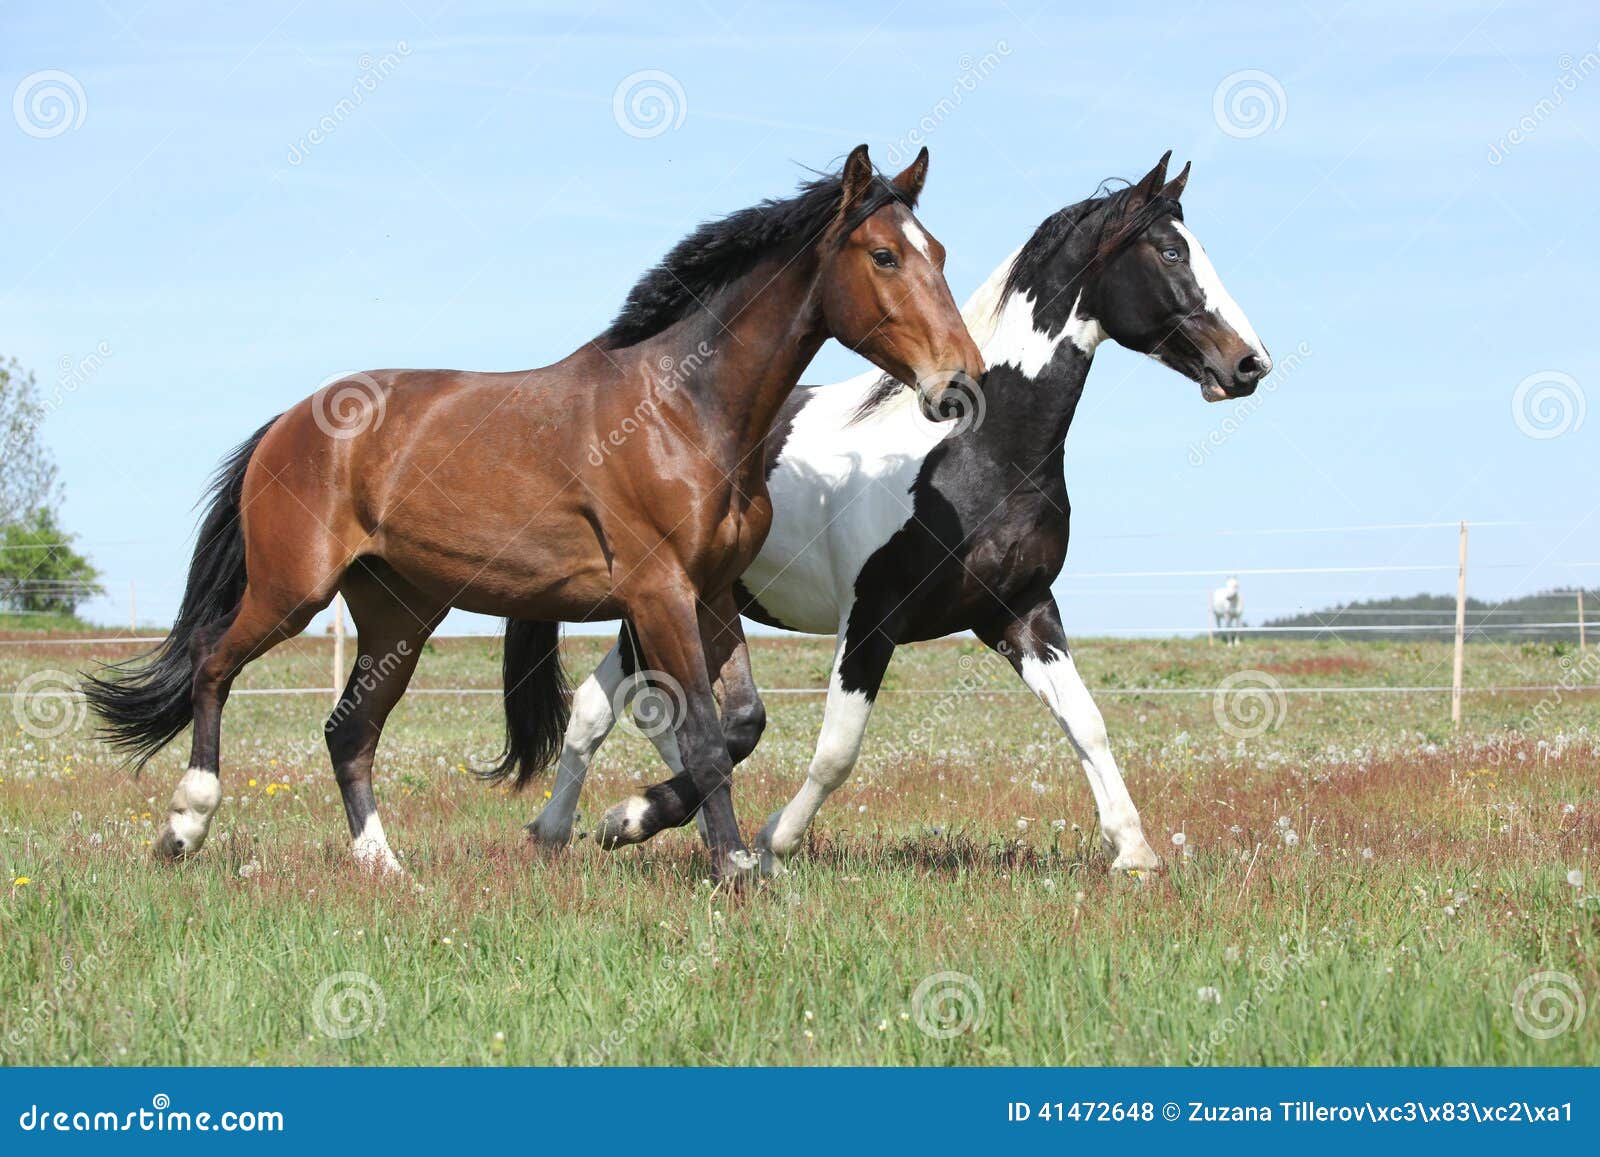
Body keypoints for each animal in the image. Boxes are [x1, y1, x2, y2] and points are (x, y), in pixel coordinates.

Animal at [84, 145, 984, 886]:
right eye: (884, 255)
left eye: (939, 253)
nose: (961, 383)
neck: (682, 409)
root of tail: (289, 421)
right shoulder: (658, 593)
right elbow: (701, 735)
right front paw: (727, 867)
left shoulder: (711, 594)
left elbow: (741, 725)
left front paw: (633, 821)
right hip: (290, 591)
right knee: (212, 665)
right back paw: (185, 825)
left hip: (398, 615)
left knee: (348, 730)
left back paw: (384, 866)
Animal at [520, 151, 1271, 874]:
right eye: (1170, 253)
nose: (1249, 363)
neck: (971, 448)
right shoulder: (872, 615)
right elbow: (837, 748)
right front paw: (772, 842)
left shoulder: (1020, 609)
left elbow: (1085, 720)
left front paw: (1134, 851)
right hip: (664, 602)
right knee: (633, 711)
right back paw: (619, 822)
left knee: (614, 709)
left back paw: (599, 824)